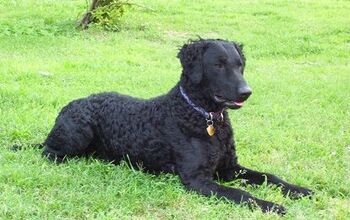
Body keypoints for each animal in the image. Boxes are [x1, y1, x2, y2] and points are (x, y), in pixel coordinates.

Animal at [41, 38, 312, 214]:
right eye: (218, 64)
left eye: (239, 64)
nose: (247, 92)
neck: (202, 116)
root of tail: (71, 104)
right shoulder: (197, 179)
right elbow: (240, 194)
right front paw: (271, 205)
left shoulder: (229, 168)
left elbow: (270, 176)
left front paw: (298, 190)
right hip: (78, 133)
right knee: (49, 153)